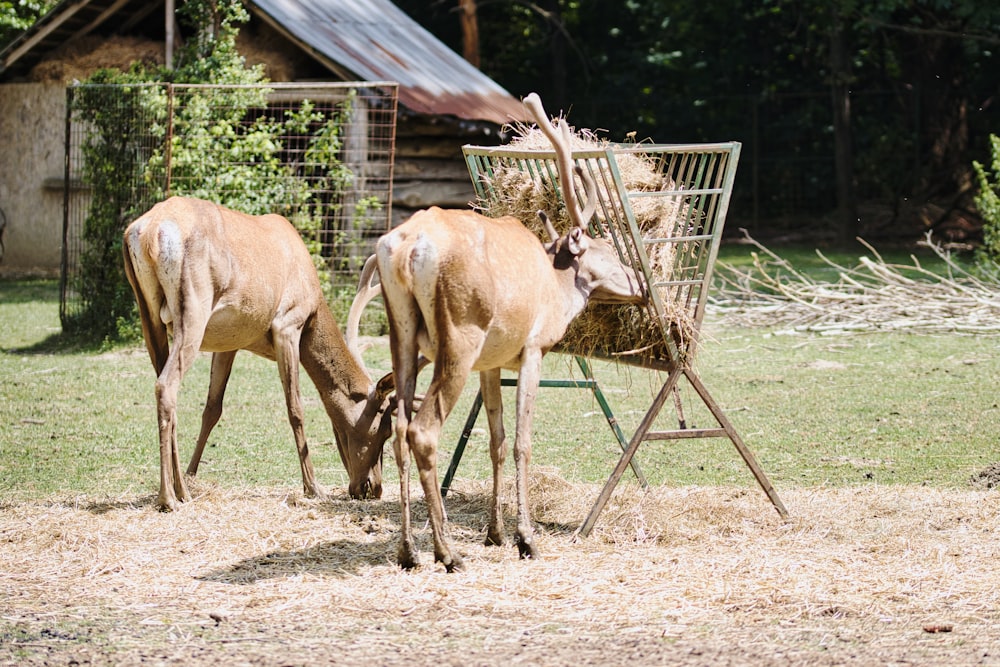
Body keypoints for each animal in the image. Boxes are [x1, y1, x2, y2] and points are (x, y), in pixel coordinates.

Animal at [122, 196, 394, 516]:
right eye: (385, 430)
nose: (373, 488)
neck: (314, 308)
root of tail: (146, 234)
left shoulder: (229, 343)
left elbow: (212, 409)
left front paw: (191, 475)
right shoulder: (288, 324)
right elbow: (296, 408)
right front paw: (313, 487)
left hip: (148, 314)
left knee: (167, 389)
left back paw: (182, 491)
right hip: (192, 308)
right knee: (166, 385)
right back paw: (167, 498)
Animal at [370, 92, 648, 576]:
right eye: (610, 251)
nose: (642, 285)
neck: (558, 291)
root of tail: (406, 249)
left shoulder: (492, 360)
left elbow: (497, 441)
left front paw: (495, 533)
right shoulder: (532, 347)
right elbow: (522, 442)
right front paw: (525, 538)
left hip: (401, 332)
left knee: (400, 425)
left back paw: (408, 552)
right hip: (460, 333)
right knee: (423, 430)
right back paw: (447, 552)